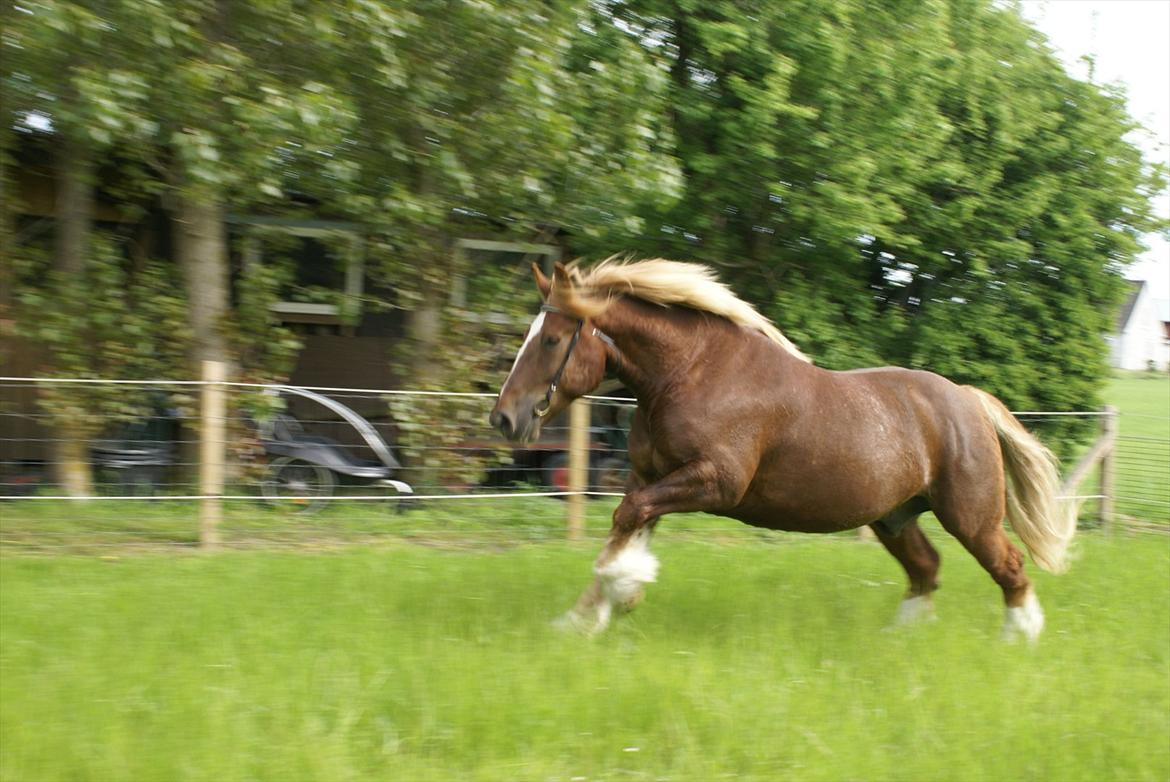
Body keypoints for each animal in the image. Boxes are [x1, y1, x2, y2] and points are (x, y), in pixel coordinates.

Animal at [489, 259, 1071, 636]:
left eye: (551, 340)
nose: (503, 418)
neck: (688, 374)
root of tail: (969, 400)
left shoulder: (714, 482)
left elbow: (625, 525)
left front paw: (616, 597)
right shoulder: (650, 478)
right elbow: (625, 528)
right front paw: (587, 616)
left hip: (971, 517)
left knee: (1011, 568)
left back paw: (1020, 638)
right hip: (895, 516)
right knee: (926, 568)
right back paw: (902, 638)